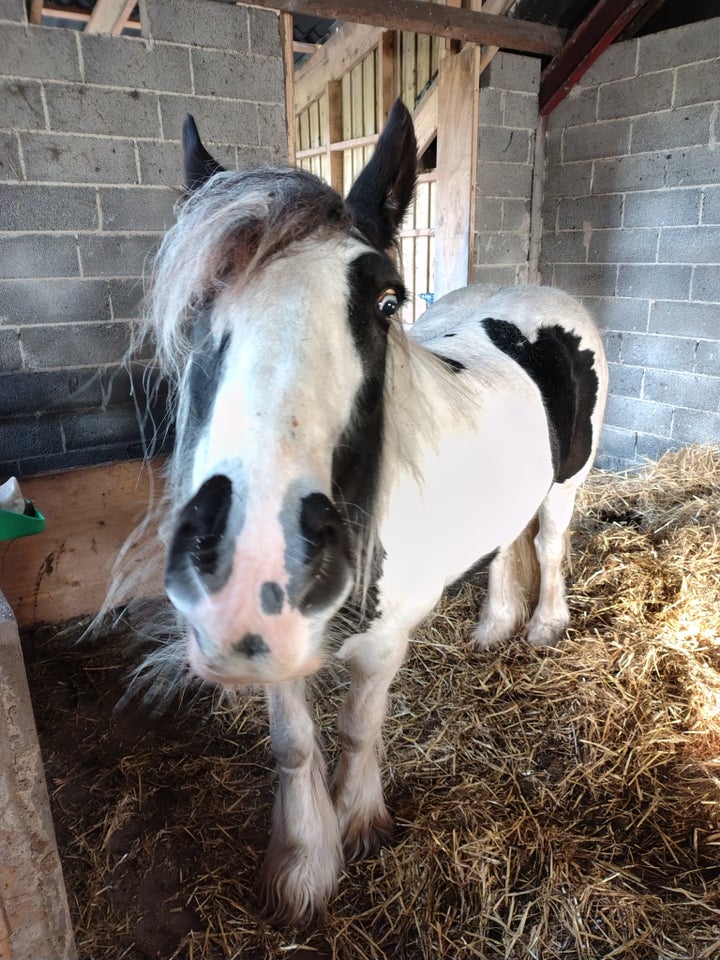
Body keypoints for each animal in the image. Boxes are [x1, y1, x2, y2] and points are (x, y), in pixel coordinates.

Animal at [139, 97, 608, 924]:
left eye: (388, 301)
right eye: (194, 306)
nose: (252, 570)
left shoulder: (384, 642)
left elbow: (359, 729)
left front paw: (358, 822)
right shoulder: (275, 650)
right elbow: (294, 745)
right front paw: (302, 865)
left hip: (565, 484)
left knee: (549, 546)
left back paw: (544, 625)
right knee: (505, 547)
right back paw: (495, 626)